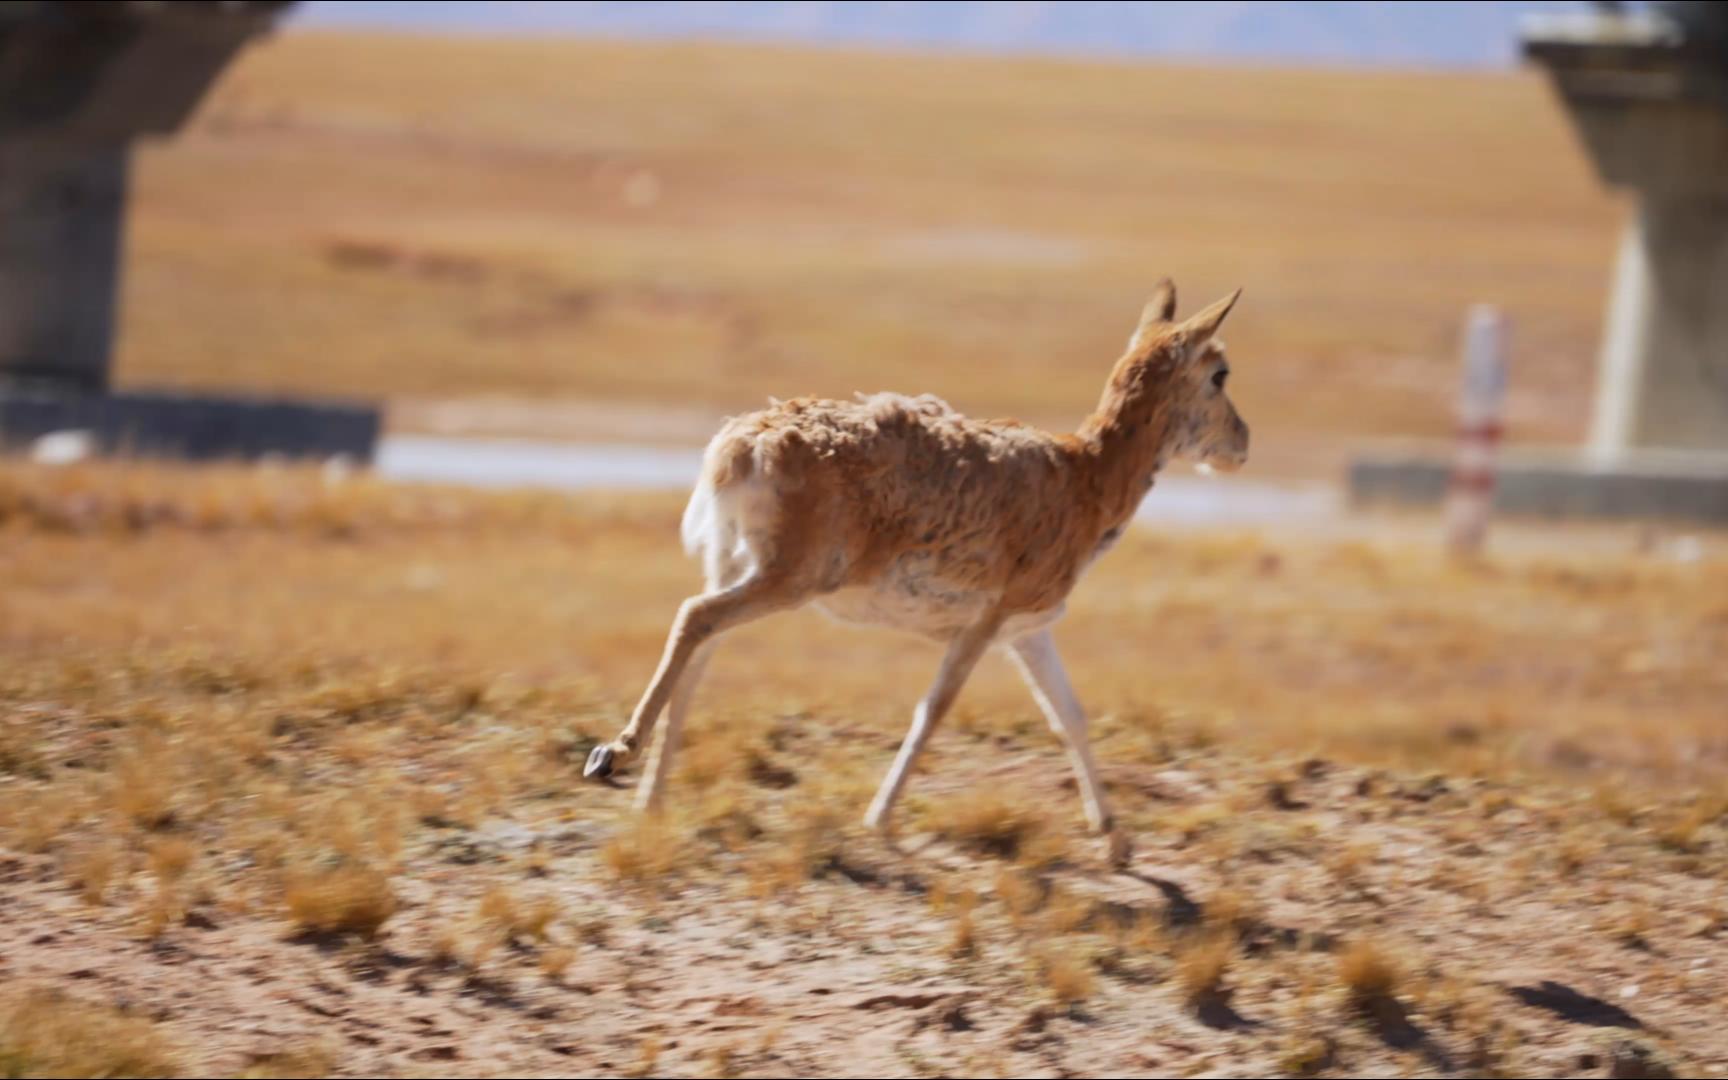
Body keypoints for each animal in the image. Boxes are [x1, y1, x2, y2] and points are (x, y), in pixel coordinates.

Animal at [587, 281, 1251, 864]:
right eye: (1219, 372)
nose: (1242, 444)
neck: (1085, 477)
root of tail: (741, 444)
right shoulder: (984, 624)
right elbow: (933, 710)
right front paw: (879, 820)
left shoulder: (1029, 630)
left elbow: (1071, 718)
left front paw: (1117, 840)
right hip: (786, 580)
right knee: (694, 618)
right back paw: (614, 755)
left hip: (733, 567)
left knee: (698, 649)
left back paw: (650, 801)